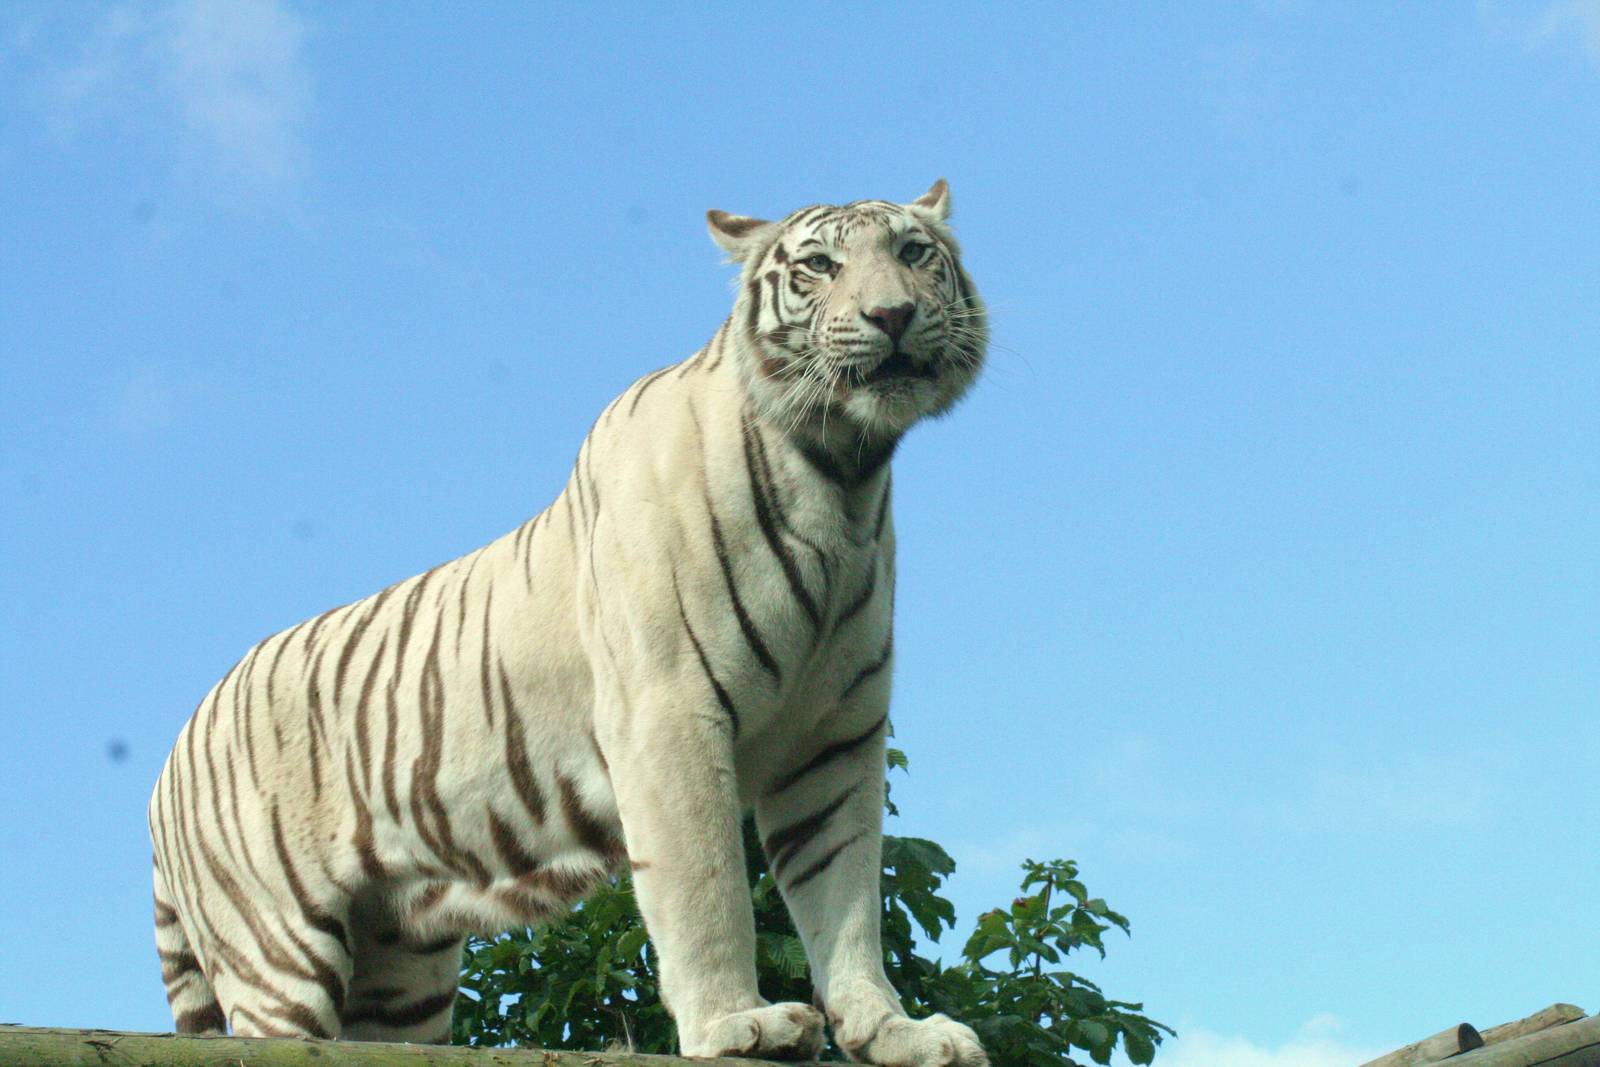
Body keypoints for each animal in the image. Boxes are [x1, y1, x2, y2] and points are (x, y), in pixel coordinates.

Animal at [149, 180, 989, 1065]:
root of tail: (172, 753)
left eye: (912, 253)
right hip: (281, 946)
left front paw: (892, 1031)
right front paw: (736, 1023)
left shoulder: (833, 736)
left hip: (401, 966)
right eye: (821, 266)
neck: (840, 473)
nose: (892, 314)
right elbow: (708, 888)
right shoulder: (668, 715)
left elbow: (847, 894)